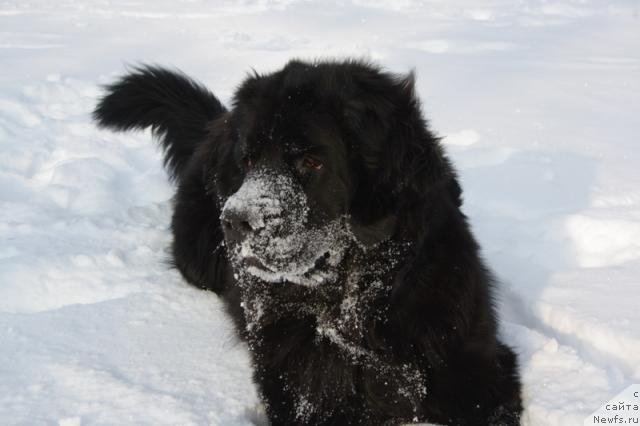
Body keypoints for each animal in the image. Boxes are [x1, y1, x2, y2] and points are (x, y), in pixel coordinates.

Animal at [96, 60, 524, 426]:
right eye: (247, 161)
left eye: (312, 162)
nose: (235, 220)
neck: (353, 304)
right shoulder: (299, 390)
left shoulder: (478, 366)